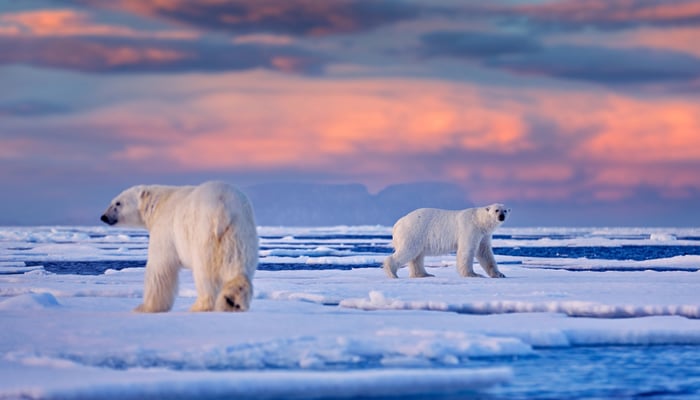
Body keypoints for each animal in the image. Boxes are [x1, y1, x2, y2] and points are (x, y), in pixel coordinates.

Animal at [100, 181, 258, 313]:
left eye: (118, 203)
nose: (103, 217)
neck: (157, 204)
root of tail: (223, 208)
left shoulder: (165, 229)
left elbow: (160, 267)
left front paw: (145, 307)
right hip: (239, 232)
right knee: (237, 265)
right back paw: (232, 301)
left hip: (203, 233)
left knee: (204, 273)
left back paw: (199, 306)